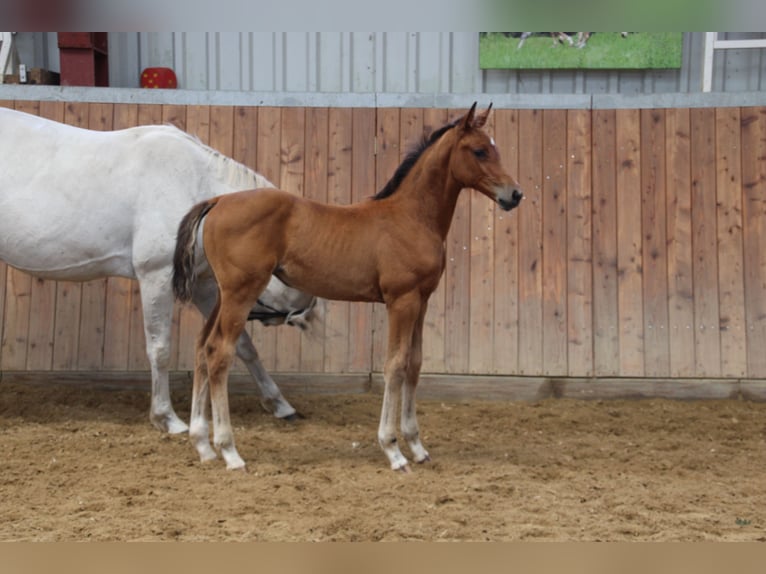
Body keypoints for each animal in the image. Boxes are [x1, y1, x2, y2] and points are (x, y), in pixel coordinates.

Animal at [1, 107, 316, 432]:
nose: (306, 315)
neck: (193, 184)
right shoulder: (156, 275)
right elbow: (160, 348)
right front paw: (166, 417)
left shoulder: (203, 285)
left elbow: (242, 344)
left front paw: (280, 405)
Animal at [172, 104, 520, 472]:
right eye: (479, 151)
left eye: (495, 147)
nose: (515, 194)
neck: (411, 218)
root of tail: (218, 200)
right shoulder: (401, 301)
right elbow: (395, 365)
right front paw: (393, 450)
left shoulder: (422, 301)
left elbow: (414, 363)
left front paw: (417, 446)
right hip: (241, 294)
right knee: (220, 352)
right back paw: (229, 451)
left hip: (222, 295)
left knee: (203, 347)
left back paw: (203, 445)